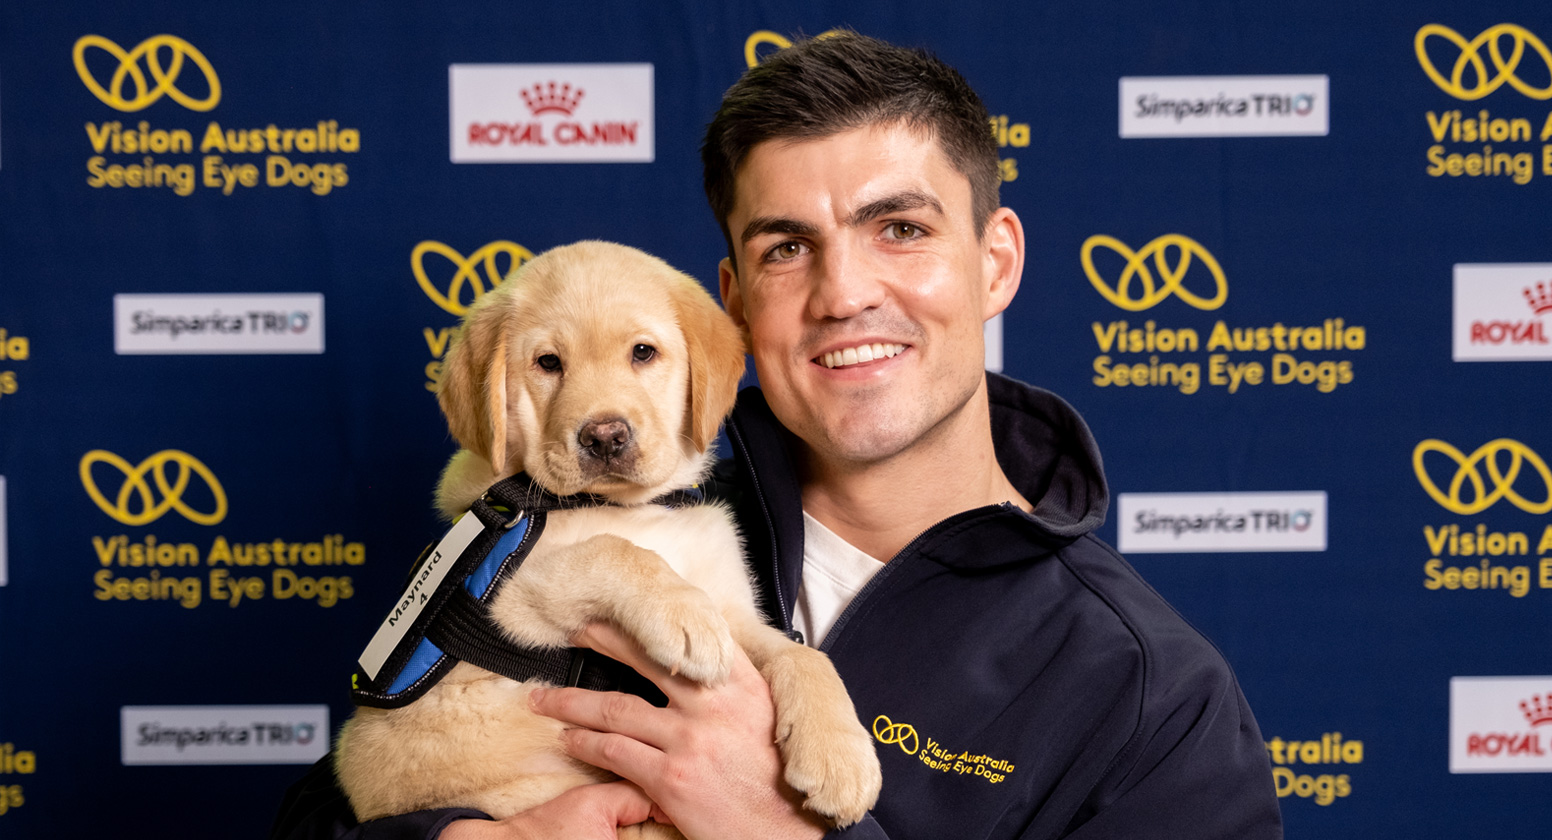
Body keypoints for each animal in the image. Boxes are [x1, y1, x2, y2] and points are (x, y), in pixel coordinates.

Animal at [333, 240, 881, 832]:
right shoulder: (504, 596)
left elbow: (801, 655)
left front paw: (840, 754)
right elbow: (612, 551)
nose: (604, 437)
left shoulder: (735, 613)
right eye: (549, 363)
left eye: (642, 353)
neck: (632, 507)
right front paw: (681, 614)